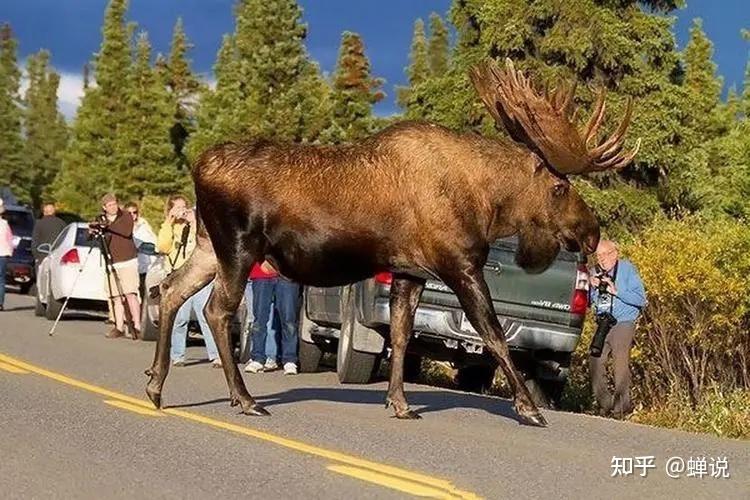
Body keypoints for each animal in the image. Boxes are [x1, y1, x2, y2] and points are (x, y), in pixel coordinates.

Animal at [145, 58, 640, 426]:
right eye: (558, 188)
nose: (591, 232)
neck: (486, 203)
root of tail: (199, 167)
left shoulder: (409, 271)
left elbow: (401, 336)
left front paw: (399, 403)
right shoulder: (460, 264)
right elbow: (494, 335)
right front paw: (530, 408)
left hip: (209, 246)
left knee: (169, 289)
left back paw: (155, 385)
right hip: (240, 247)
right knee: (216, 310)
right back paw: (243, 399)